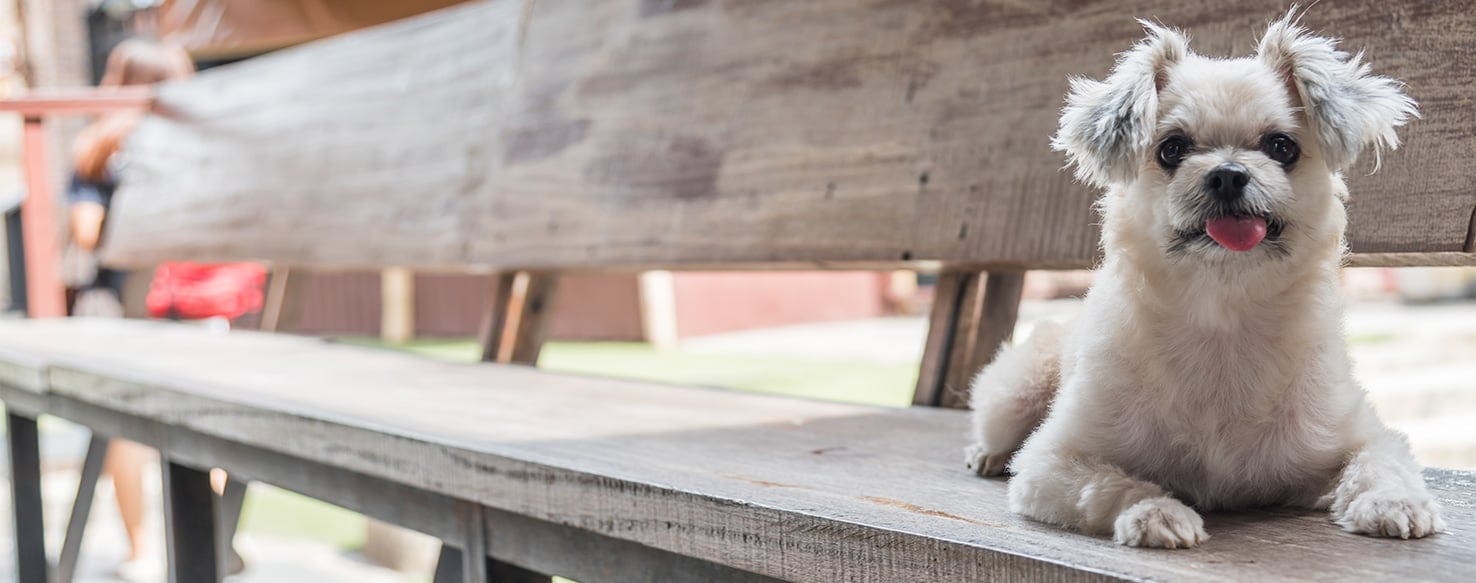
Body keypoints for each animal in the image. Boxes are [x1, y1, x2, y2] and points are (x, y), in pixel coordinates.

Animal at [962, 12, 1446, 552]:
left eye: (1282, 147)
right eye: (1172, 149)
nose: (1228, 174)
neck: (1222, 315)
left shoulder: (1358, 437)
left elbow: (1377, 464)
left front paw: (1394, 503)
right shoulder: (1050, 463)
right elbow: (1111, 484)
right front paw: (1156, 512)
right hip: (1015, 394)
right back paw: (987, 454)